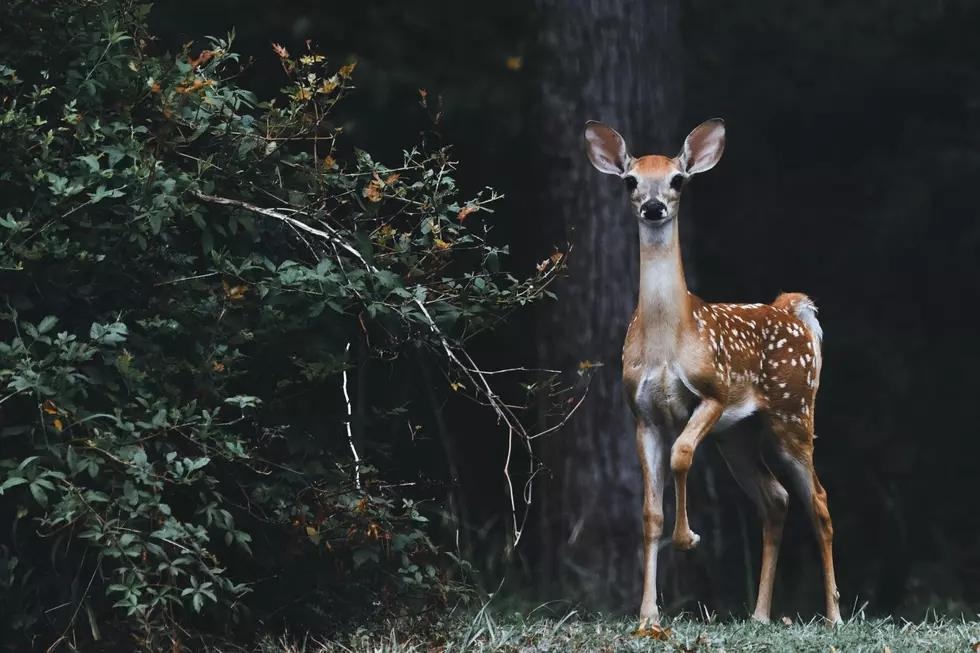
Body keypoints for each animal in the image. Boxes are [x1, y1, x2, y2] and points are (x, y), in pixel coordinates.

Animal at [580, 118, 844, 632]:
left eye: (678, 180)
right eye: (630, 181)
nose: (654, 207)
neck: (668, 340)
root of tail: (793, 311)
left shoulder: (713, 393)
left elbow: (682, 455)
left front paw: (689, 539)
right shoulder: (642, 414)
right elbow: (649, 512)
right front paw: (648, 615)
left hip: (793, 411)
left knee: (819, 501)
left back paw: (834, 616)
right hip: (738, 434)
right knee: (775, 498)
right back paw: (760, 615)